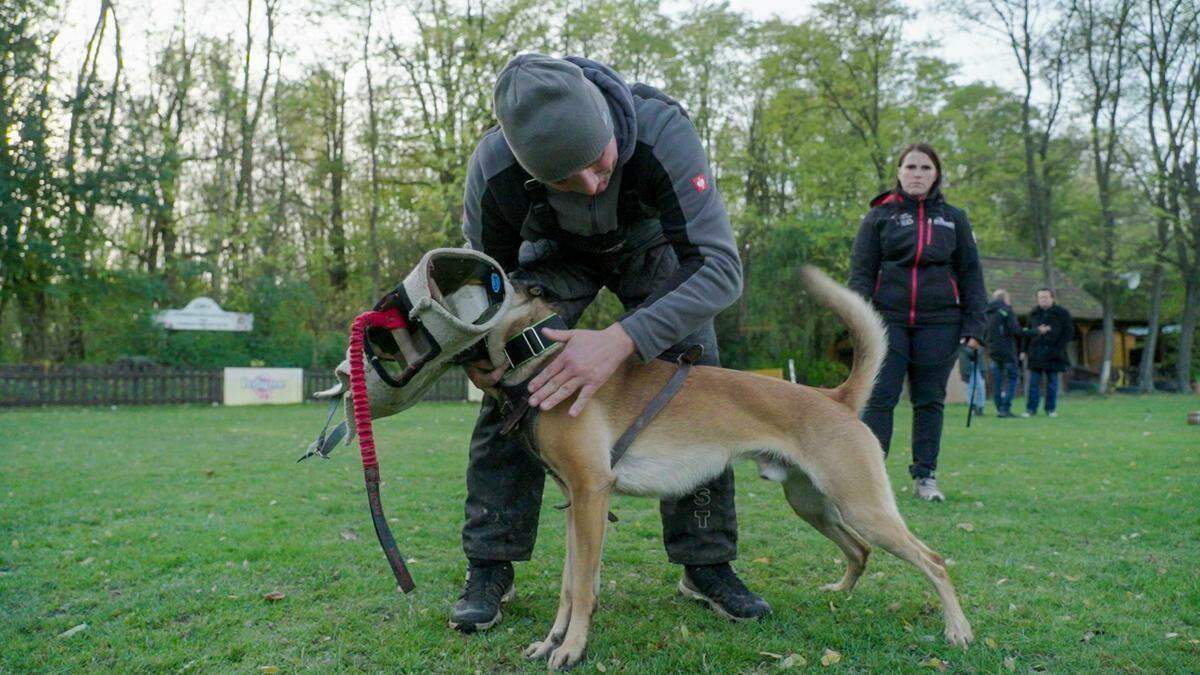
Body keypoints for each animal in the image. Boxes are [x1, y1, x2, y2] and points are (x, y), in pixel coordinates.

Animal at [472, 264, 969, 667]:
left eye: (496, 280)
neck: (542, 357)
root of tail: (835, 398)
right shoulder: (578, 506)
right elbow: (571, 586)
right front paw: (551, 643)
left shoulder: (592, 494)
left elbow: (580, 590)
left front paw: (572, 649)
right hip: (814, 506)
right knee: (860, 551)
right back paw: (840, 597)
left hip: (863, 507)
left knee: (934, 560)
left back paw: (958, 630)